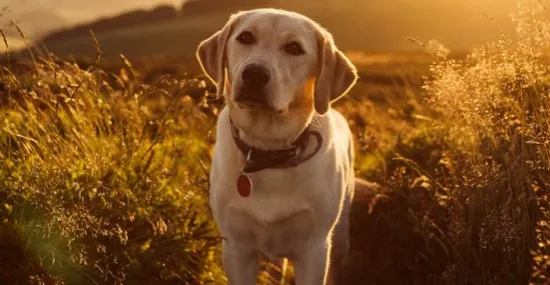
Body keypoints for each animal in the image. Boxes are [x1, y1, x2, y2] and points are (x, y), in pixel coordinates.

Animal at [196, 8, 360, 284]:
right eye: (245, 37)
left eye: (294, 48)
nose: (254, 74)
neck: (268, 152)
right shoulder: (236, 248)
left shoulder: (314, 250)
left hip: (340, 238)